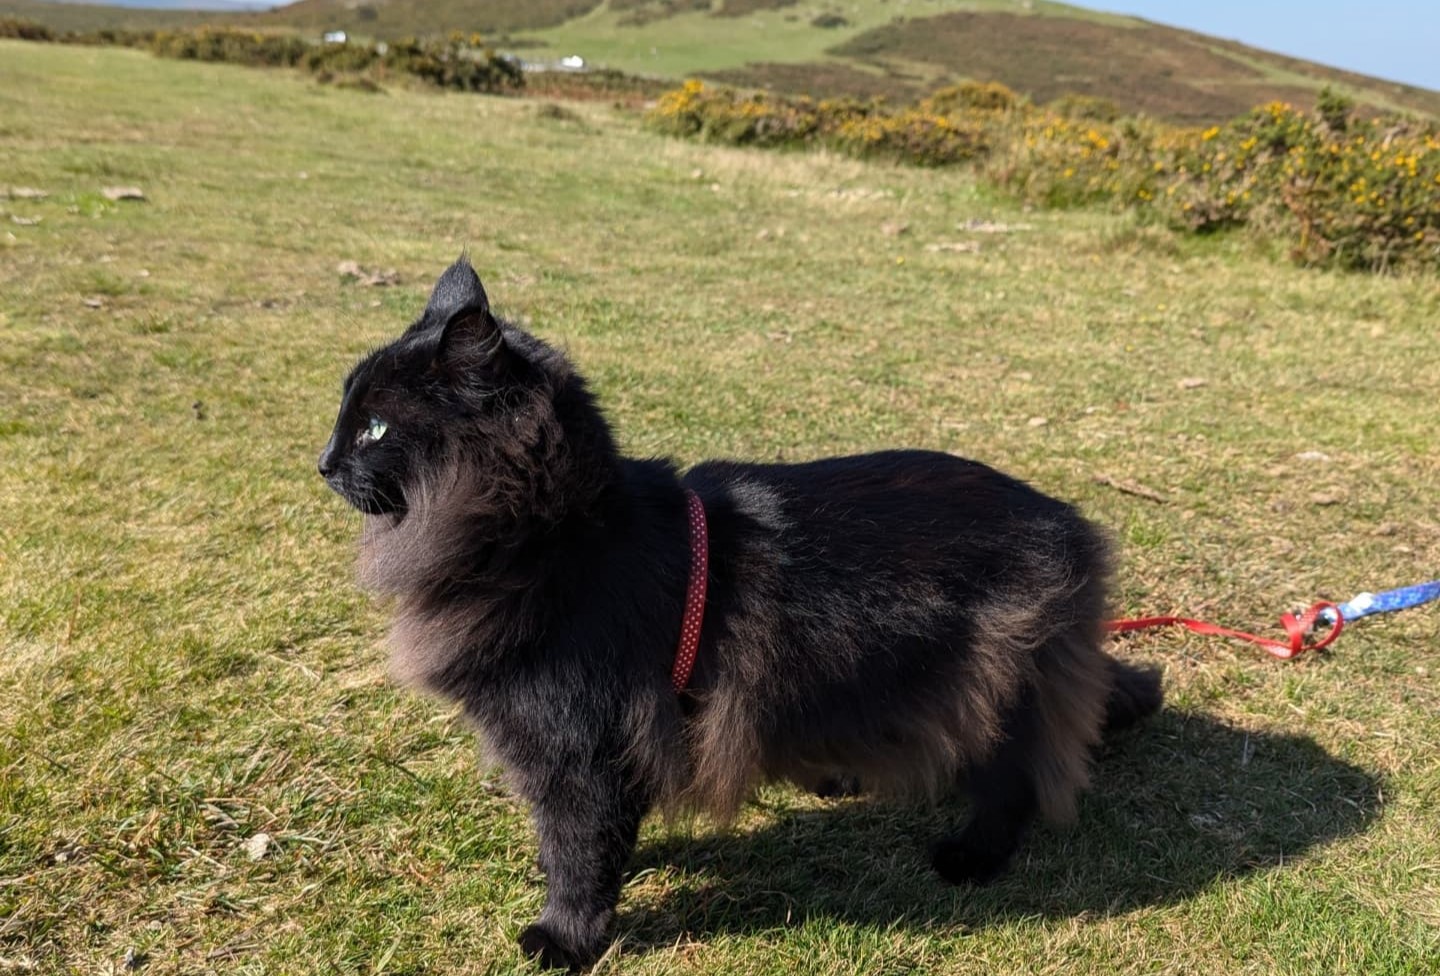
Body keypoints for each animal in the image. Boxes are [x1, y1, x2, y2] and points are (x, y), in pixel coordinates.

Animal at [315, 257, 1157, 973]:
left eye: (375, 429)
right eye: (343, 415)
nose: (321, 464)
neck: (559, 542)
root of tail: (1068, 522)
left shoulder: (578, 748)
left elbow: (579, 853)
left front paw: (565, 939)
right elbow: (599, 838)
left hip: (991, 686)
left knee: (1014, 781)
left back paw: (969, 857)